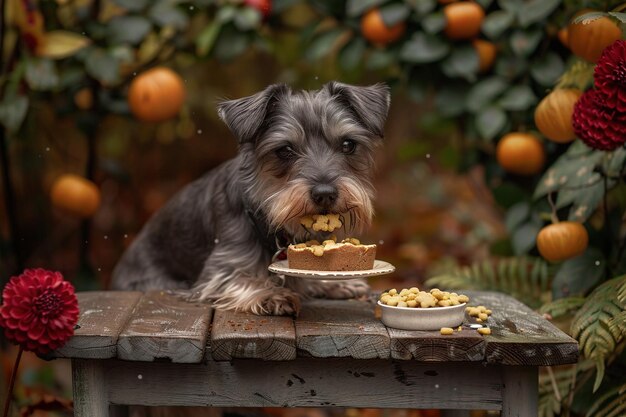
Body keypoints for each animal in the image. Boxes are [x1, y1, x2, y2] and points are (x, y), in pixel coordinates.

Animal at [109, 81, 388, 314]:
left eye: (348, 145)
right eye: (284, 150)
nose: (325, 194)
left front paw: (338, 283)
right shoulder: (219, 270)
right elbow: (240, 279)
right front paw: (272, 294)